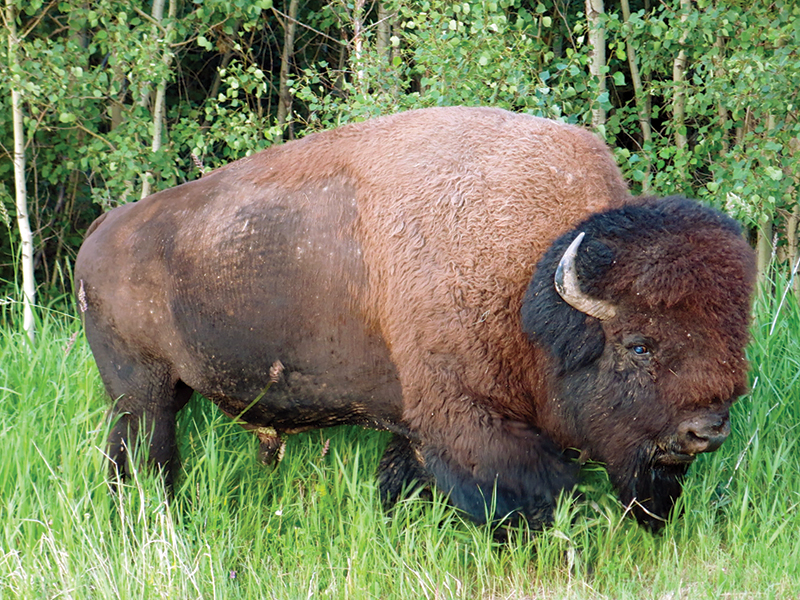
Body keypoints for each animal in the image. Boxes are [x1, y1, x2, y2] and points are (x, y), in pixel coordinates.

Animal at [75, 106, 755, 531]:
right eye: (639, 345)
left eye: (736, 340)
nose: (706, 430)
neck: (529, 279)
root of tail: (99, 233)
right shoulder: (472, 424)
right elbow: (528, 497)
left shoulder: (415, 421)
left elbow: (400, 477)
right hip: (142, 392)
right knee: (145, 456)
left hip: (161, 391)